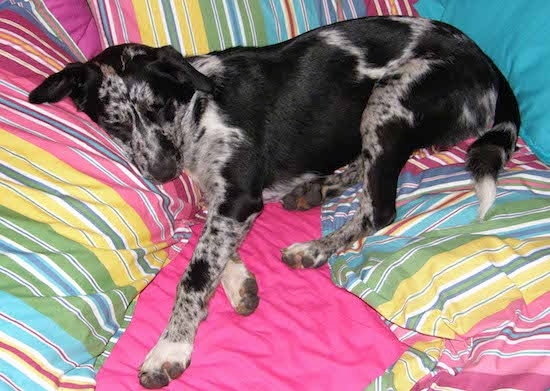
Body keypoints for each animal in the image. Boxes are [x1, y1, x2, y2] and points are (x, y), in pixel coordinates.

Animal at [30, 16, 520, 388]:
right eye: (115, 123)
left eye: (159, 109)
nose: (165, 171)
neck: (197, 110)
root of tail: (486, 64)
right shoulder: (225, 200)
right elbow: (209, 245)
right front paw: (237, 280)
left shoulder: (239, 196)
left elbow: (195, 271)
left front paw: (171, 345)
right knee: (366, 169)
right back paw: (316, 189)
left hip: (392, 97)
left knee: (379, 207)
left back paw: (315, 247)